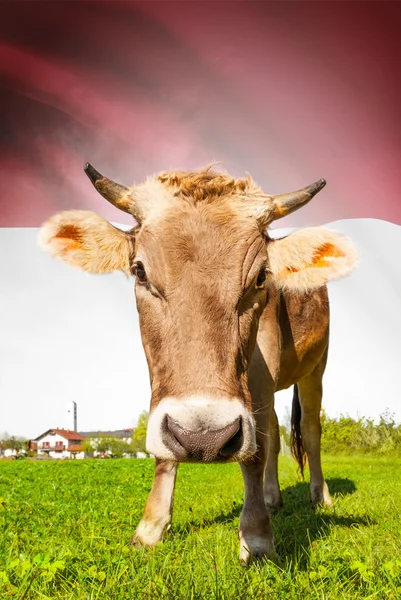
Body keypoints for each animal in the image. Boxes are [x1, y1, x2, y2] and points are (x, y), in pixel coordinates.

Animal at [38, 164, 356, 564]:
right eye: (139, 271)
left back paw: (319, 496)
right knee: (272, 430)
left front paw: (257, 536)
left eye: (261, 277)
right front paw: (150, 528)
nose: (204, 438)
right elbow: (166, 448)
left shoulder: (263, 367)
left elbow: (255, 452)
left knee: (310, 432)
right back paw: (272, 497)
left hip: (316, 367)